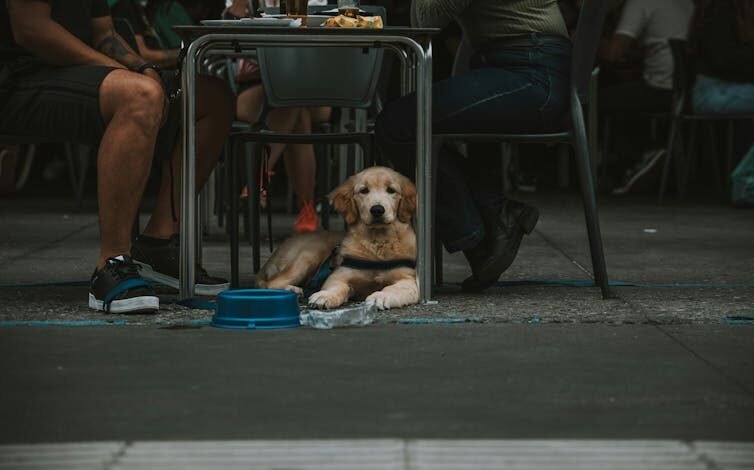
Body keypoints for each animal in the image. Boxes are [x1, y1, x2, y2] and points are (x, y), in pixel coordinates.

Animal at [253, 167, 418, 310]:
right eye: (364, 190)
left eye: (391, 190)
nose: (377, 210)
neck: (377, 241)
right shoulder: (339, 275)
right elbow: (336, 287)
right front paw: (325, 296)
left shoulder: (410, 280)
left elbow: (394, 288)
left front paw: (381, 296)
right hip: (309, 255)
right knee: (271, 283)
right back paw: (292, 290)